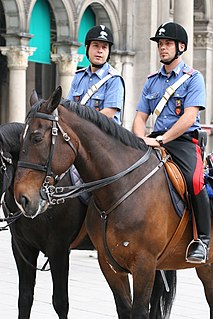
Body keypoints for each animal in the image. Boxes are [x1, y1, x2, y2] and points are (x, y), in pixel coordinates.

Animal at [13, 87, 211, 319]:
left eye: (36, 138)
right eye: (20, 138)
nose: (22, 198)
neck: (121, 187)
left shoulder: (143, 264)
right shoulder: (110, 266)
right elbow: (123, 308)